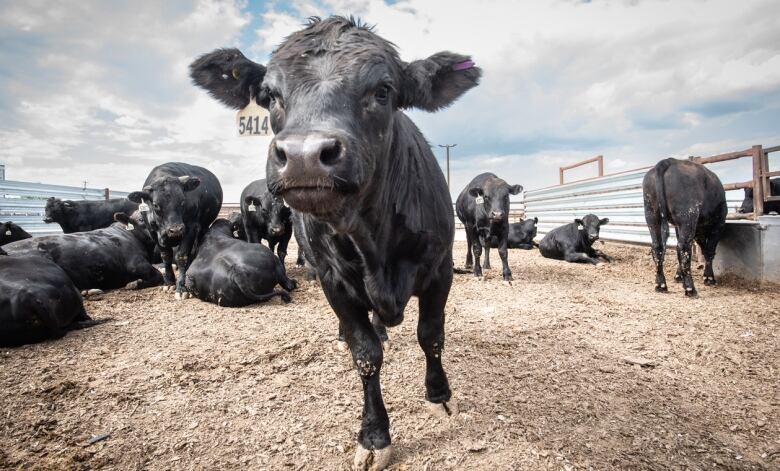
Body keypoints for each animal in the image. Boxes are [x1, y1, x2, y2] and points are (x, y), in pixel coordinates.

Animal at [126, 162, 221, 300]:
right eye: (155, 205)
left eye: (182, 201)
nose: (175, 229)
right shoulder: (153, 232)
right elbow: (166, 256)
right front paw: (169, 282)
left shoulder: (190, 228)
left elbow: (181, 256)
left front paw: (181, 287)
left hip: (203, 227)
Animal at [190, 16, 482, 470]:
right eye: (270, 95)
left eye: (383, 90)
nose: (304, 155)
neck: (374, 242)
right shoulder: (334, 282)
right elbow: (366, 356)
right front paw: (375, 436)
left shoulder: (439, 272)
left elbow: (431, 335)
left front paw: (439, 397)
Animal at [644, 160, 728, 296]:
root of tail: (669, 161)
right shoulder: (718, 224)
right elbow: (709, 251)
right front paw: (709, 277)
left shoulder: (681, 228)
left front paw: (678, 276)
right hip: (688, 216)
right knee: (683, 248)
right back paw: (690, 288)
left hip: (652, 215)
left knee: (658, 247)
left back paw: (661, 284)